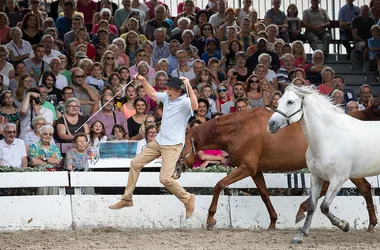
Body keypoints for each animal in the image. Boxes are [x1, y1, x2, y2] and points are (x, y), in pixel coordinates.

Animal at [180, 98, 380, 231]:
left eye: (181, 144)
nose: (177, 167)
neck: (240, 129)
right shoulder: (255, 170)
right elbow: (264, 194)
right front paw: (273, 222)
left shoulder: (246, 168)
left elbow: (219, 185)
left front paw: (210, 220)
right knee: (360, 188)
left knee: (362, 188)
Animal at [268, 85, 380, 244]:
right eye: (278, 101)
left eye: (290, 102)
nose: (271, 124)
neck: (328, 138)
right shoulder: (316, 177)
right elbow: (312, 206)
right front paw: (300, 235)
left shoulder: (337, 180)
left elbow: (324, 207)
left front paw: (344, 225)